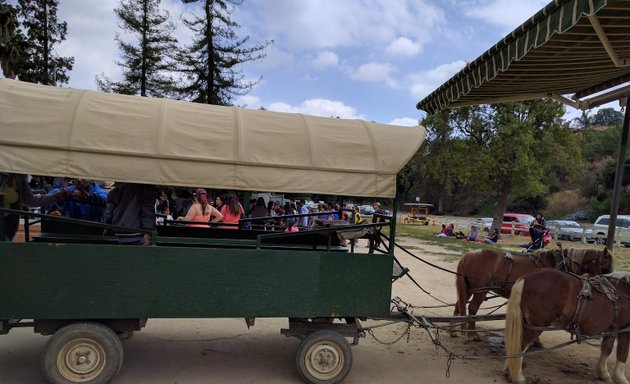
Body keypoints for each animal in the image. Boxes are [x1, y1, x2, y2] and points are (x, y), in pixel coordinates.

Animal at [456, 246, 616, 340]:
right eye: (606, 268)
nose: (608, 286)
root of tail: (469, 255)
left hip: (468, 288)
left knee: (460, 304)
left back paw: (455, 330)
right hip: (481, 290)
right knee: (472, 308)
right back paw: (473, 334)